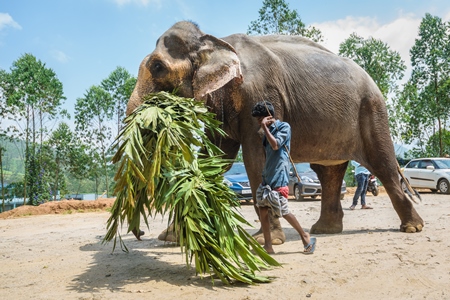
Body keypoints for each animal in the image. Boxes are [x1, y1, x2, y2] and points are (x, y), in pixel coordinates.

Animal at [127, 20, 426, 241]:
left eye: (157, 67)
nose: (140, 233)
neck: (213, 40)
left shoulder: (259, 93)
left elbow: (256, 156)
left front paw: (265, 240)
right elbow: (215, 158)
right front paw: (172, 238)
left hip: (372, 111)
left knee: (382, 163)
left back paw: (412, 228)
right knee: (328, 172)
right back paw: (324, 230)